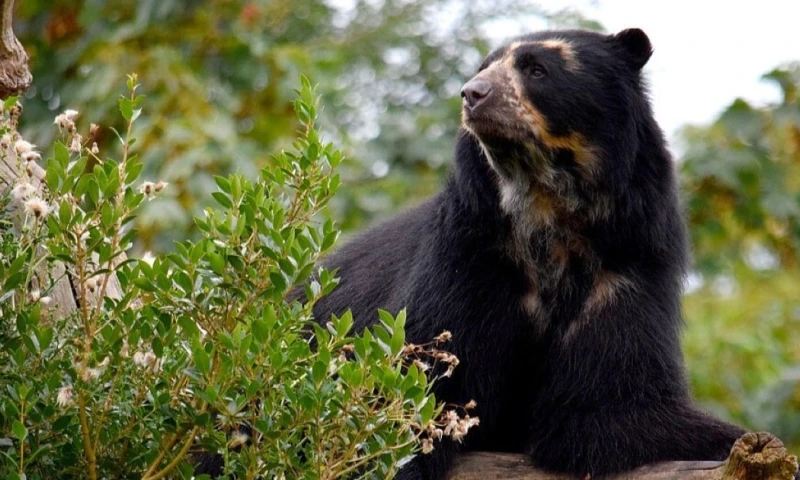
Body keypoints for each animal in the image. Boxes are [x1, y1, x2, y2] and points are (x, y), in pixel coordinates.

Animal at [308, 27, 755, 479]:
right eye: (483, 67)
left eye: (537, 70)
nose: (472, 93)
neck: (545, 208)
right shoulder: (469, 260)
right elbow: (413, 394)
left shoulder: (626, 271)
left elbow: (607, 407)